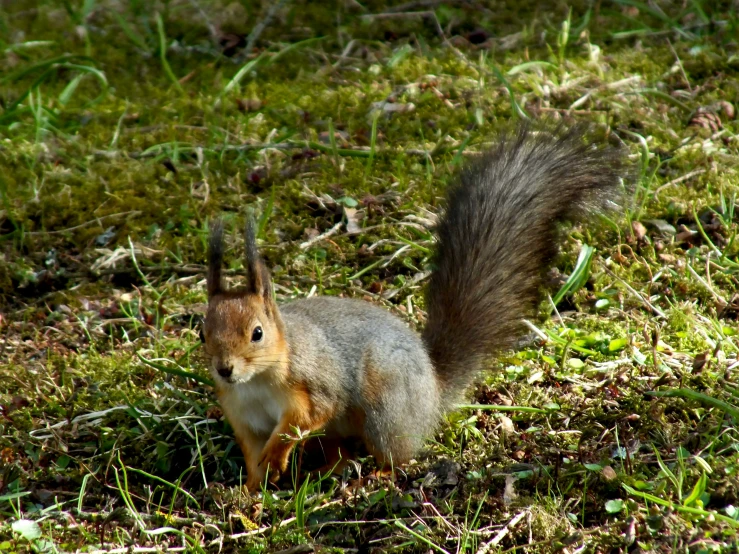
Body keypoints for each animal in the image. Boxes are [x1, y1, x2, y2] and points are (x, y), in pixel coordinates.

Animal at [201, 121, 624, 488]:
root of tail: (432, 394)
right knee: (341, 453)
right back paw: (326, 473)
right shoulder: (243, 417)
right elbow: (252, 453)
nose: (224, 369)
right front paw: (250, 491)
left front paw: (277, 454)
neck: (256, 382)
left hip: (385, 408)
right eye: (202, 333)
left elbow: (307, 416)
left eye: (257, 333)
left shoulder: (313, 382)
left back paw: (376, 474)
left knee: (397, 455)